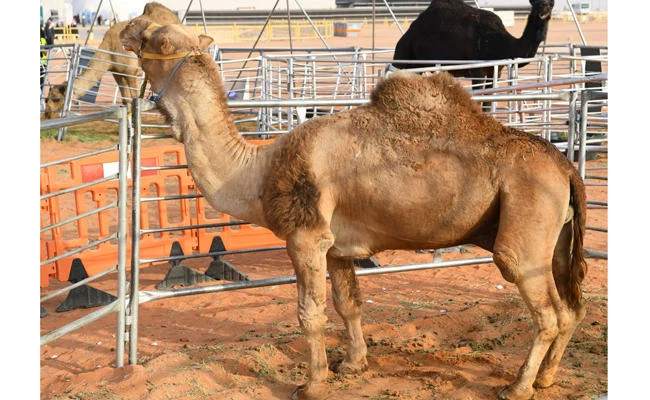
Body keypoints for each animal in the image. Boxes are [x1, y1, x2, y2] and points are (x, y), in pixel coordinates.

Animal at [43, 2, 180, 119]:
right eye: (46, 98)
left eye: (56, 98)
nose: (47, 114)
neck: (110, 50)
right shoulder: (117, 72)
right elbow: (126, 100)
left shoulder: (131, 72)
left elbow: (135, 100)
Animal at [120, 16, 588, 400]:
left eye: (157, 38)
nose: (126, 29)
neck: (256, 170)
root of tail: (566, 166)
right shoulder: (336, 247)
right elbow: (348, 304)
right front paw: (353, 365)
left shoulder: (305, 237)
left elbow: (310, 313)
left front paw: (312, 384)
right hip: (557, 234)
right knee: (570, 308)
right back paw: (547, 378)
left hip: (526, 215)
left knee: (543, 306)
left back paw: (518, 386)